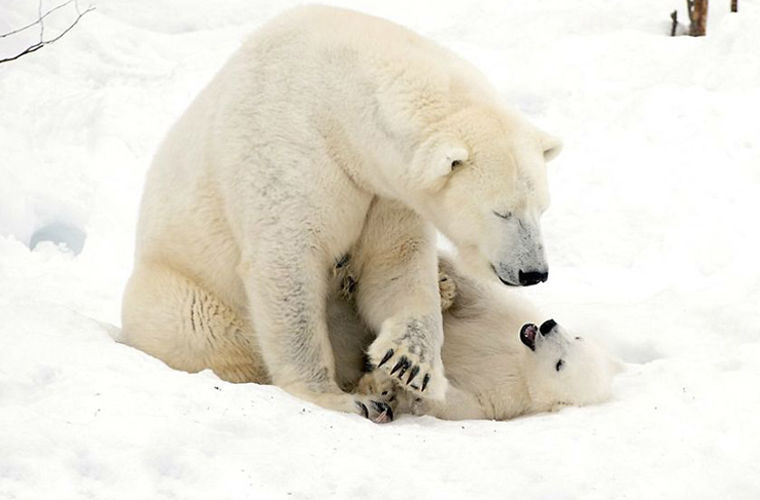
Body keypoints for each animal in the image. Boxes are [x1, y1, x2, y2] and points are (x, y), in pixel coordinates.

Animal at [121, 5, 560, 420]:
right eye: (501, 212)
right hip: (185, 298)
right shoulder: (286, 151)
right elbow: (288, 268)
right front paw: (341, 399)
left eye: (541, 208)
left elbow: (394, 264)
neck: (338, 99)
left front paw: (409, 363)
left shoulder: (385, 192)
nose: (533, 272)